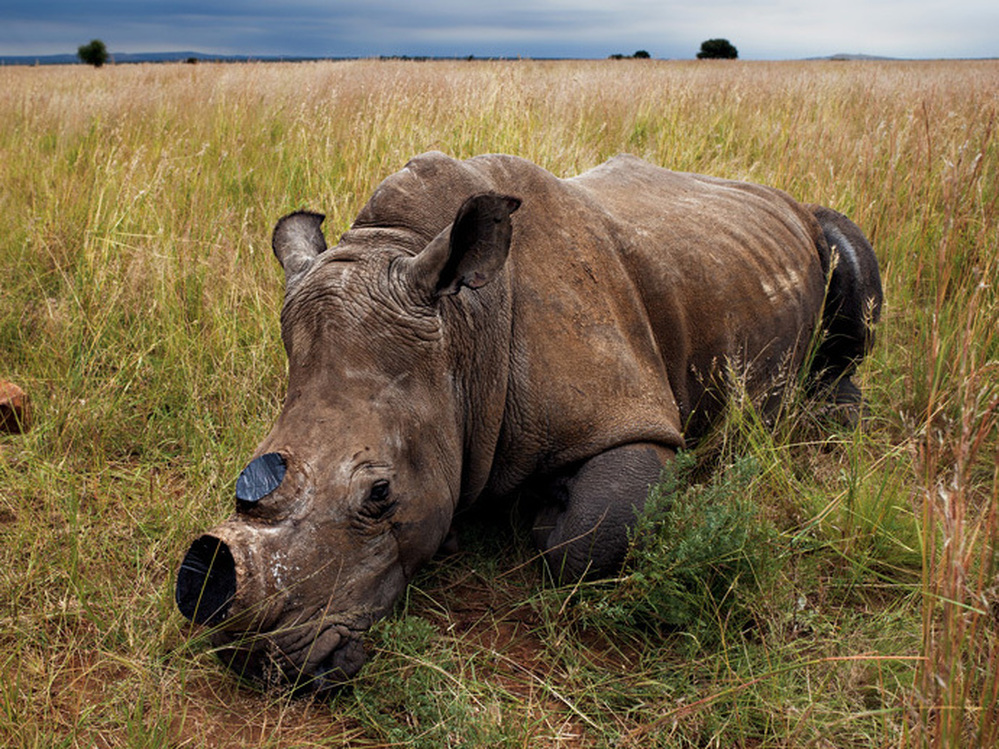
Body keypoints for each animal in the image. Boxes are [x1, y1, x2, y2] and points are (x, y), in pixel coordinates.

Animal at [176, 152, 881, 693]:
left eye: (379, 495)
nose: (251, 656)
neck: (464, 335)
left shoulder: (635, 421)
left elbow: (587, 536)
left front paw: (535, 513)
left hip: (812, 227)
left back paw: (833, 413)